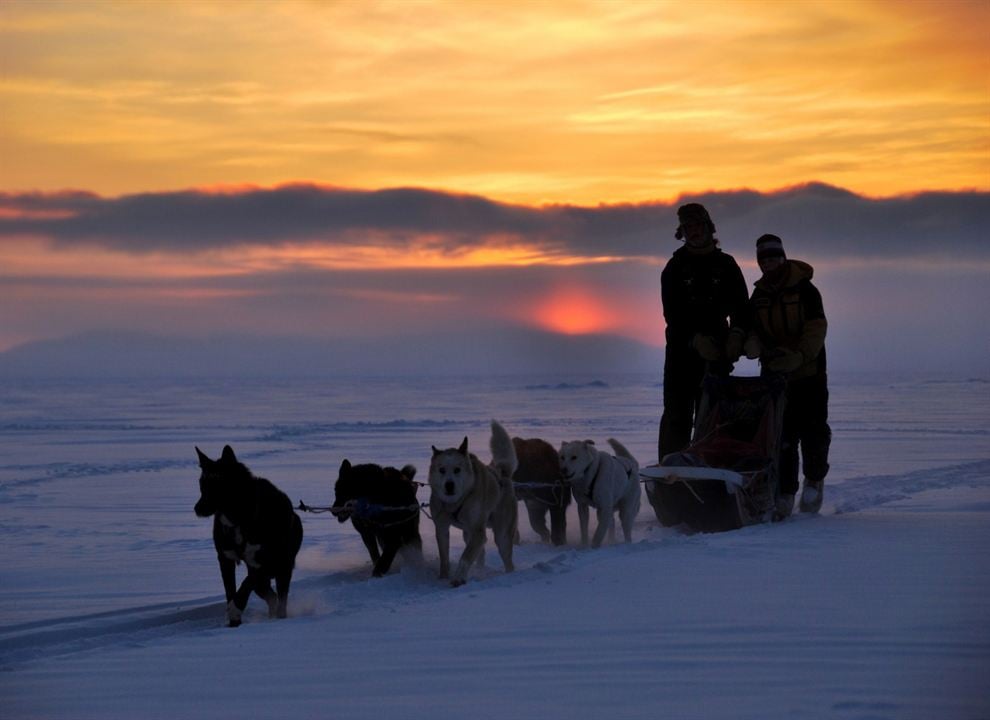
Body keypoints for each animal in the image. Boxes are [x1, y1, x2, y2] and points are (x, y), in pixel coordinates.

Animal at [193, 448, 302, 628]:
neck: (239, 519)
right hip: (264, 580)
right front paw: (234, 621)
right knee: (271, 597)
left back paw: (280, 618)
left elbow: (244, 585)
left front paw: (235, 608)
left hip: (283, 569)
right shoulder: (225, 559)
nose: (197, 509)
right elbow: (231, 590)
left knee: (280, 599)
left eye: (217, 485)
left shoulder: (264, 562)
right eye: (202, 485)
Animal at [428, 422, 520, 584]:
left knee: (507, 560)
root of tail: (501, 473)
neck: (455, 503)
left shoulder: (478, 531)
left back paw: (508, 575)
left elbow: (465, 557)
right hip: (468, 534)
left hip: (501, 535)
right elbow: (444, 558)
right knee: (480, 552)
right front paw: (443, 577)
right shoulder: (441, 528)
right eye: (442, 470)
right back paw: (480, 570)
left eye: (457, 470)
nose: (449, 485)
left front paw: (458, 578)